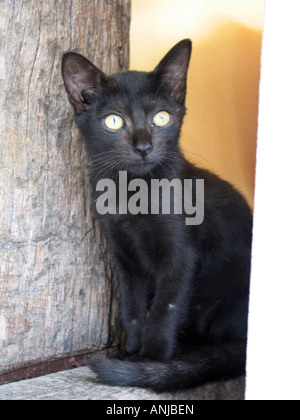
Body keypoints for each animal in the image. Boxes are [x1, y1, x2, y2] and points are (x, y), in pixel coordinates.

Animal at [61, 39, 253, 390]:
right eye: (114, 121)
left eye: (161, 118)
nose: (143, 147)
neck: (132, 193)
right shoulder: (123, 257)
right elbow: (133, 307)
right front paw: (130, 352)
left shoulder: (181, 256)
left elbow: (166, 306)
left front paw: (151, 360)